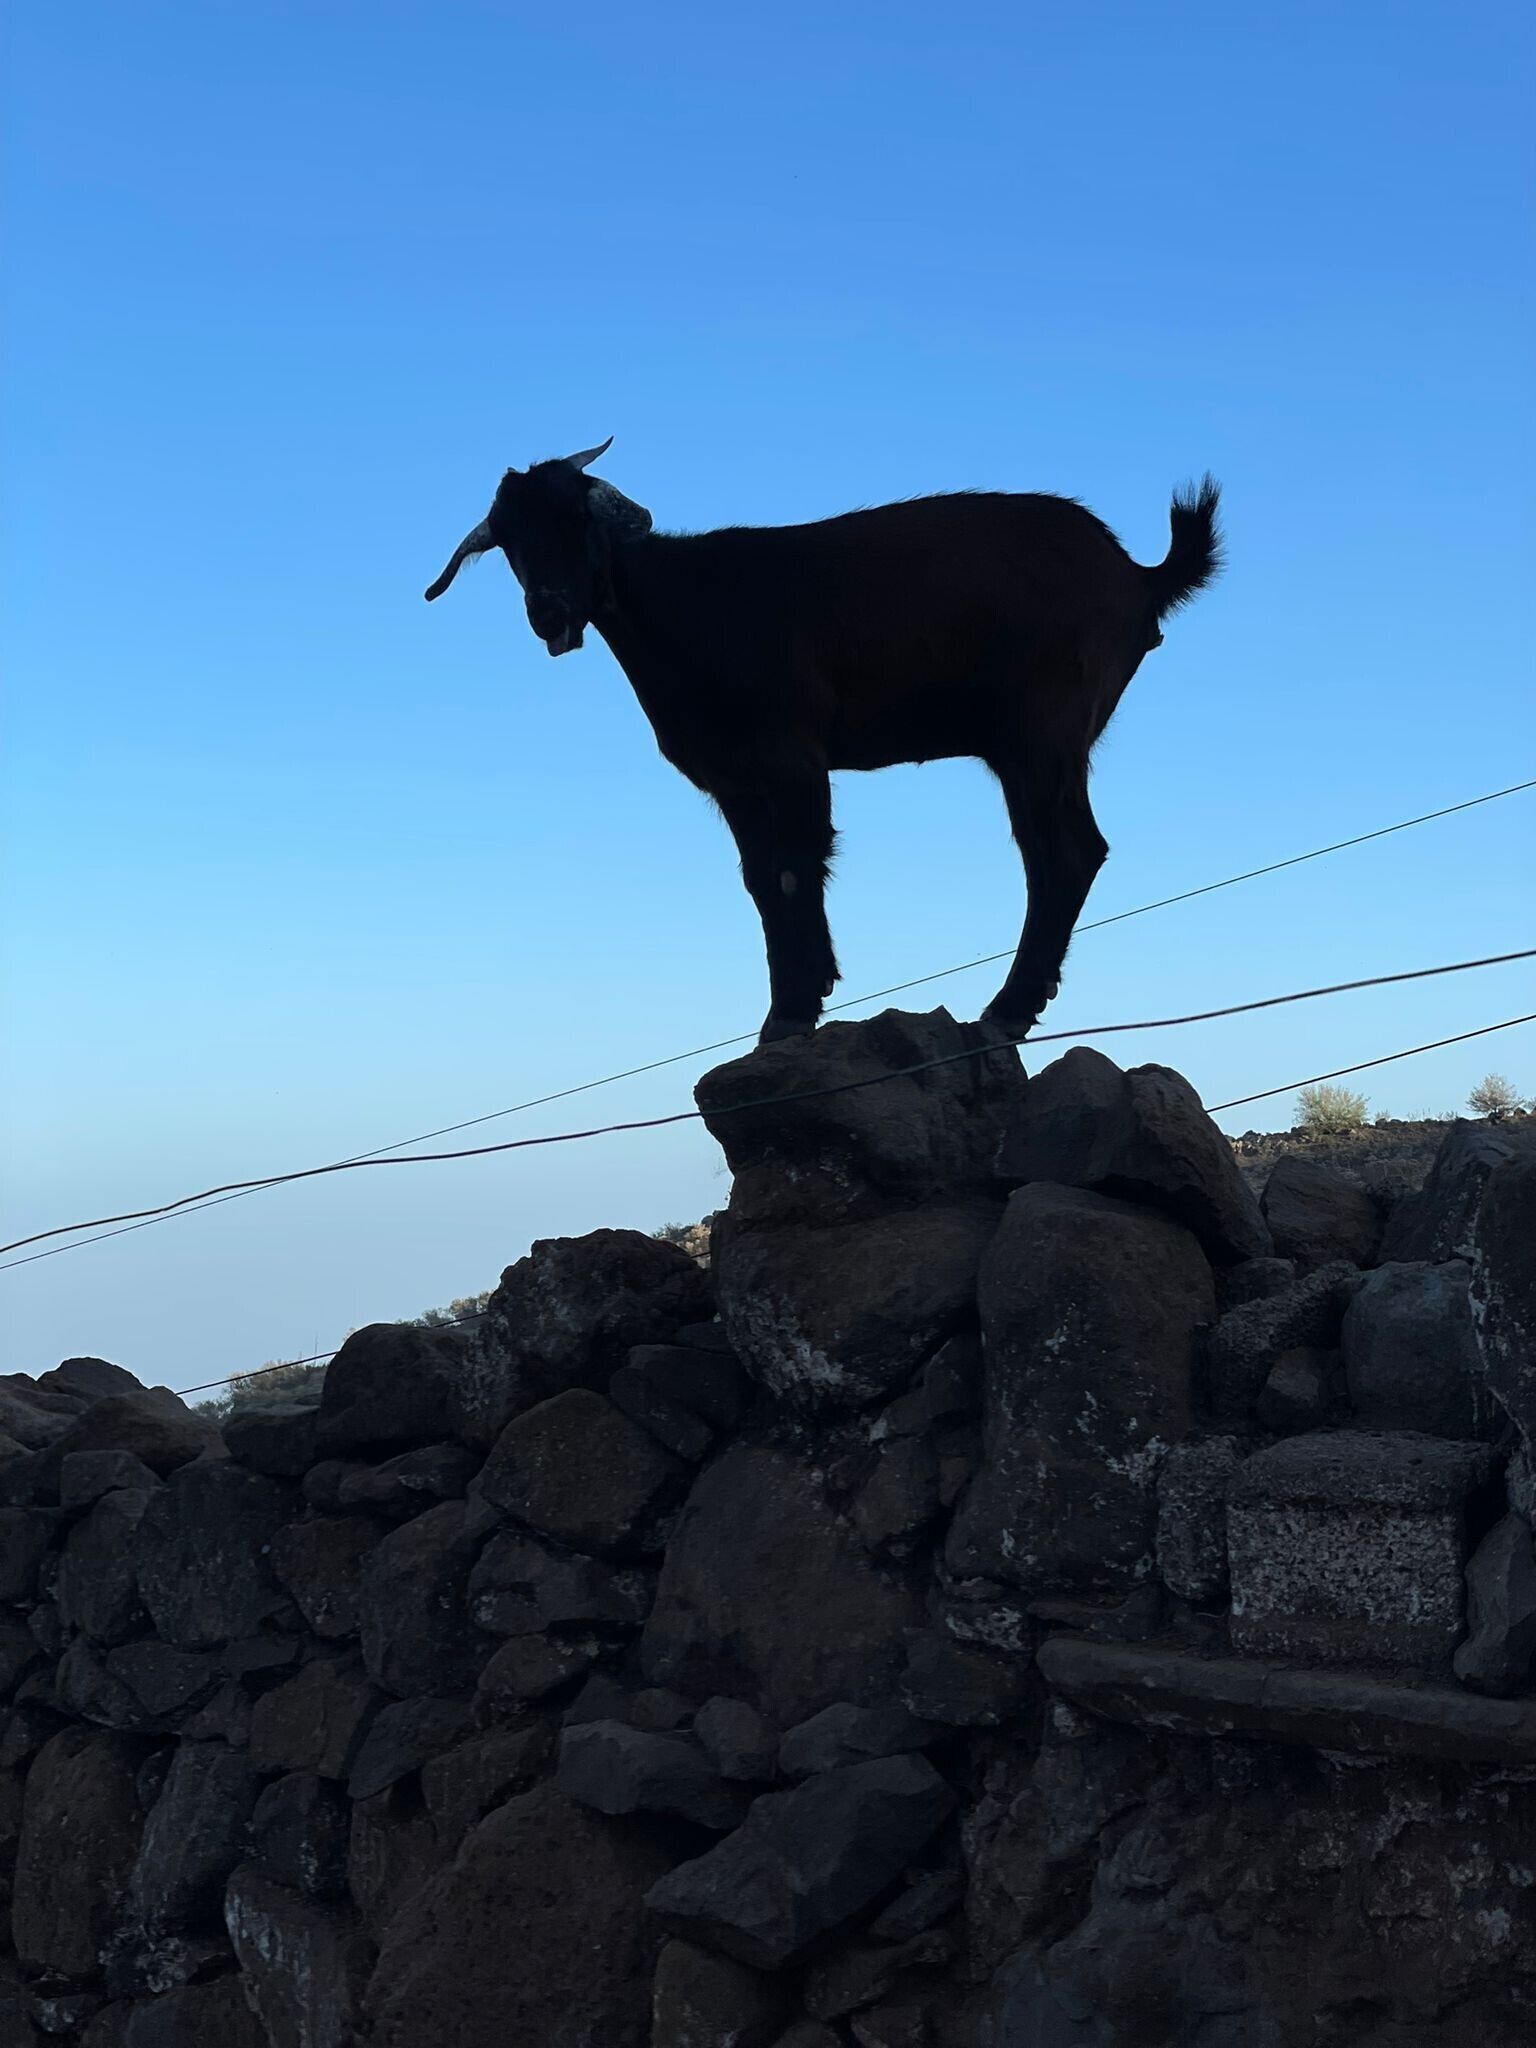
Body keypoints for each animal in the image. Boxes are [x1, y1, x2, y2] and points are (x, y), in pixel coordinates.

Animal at [426, 441, 1221, 1045]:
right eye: (506, 541)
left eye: (576, 517)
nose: (549, 612)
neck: (685, 611)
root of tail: (1139, 578)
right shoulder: (733, 779)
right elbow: (760, 880)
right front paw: (793, 1002)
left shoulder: (792, 755)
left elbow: (795, 869)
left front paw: (794, 1012)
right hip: (1027, 744)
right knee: (1049, 853)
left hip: (1045, 727)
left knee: (1070, 851)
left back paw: (1005, 1011)